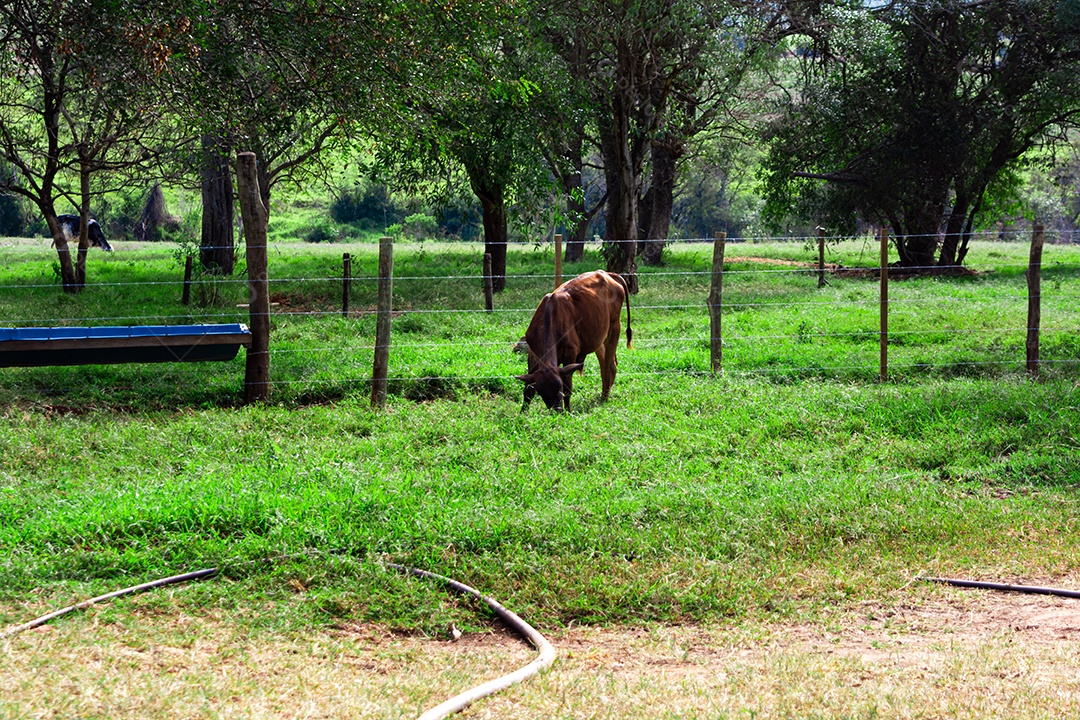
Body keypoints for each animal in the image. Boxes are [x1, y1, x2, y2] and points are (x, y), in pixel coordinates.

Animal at [516, 269, 632, 411]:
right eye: (542, 392)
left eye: (559, 388)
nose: (558, 410)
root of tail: (607, 273)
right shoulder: (533, 355)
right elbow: (528, 389)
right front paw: (523, 412)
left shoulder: (570, 354)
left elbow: (568, 387)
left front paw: (569, 411)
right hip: (598, 337)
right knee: (606, 362)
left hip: (615, 327)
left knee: (609, 364)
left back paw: (605, 397)